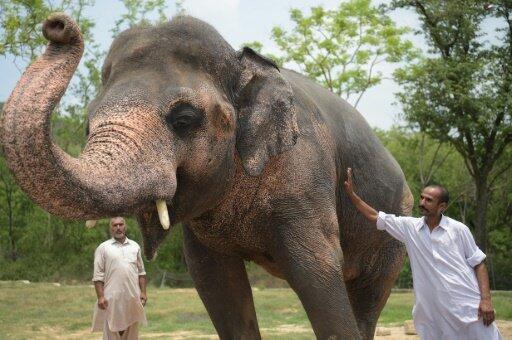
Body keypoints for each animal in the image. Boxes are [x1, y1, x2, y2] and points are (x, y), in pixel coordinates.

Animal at [1, 13, 412, 340]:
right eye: (87, 126)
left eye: (184, 119)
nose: (56, 25)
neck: (242, 62)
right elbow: (216, 283)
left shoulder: (305, 176)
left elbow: (318, 273)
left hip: (394, 231)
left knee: (367, 299)